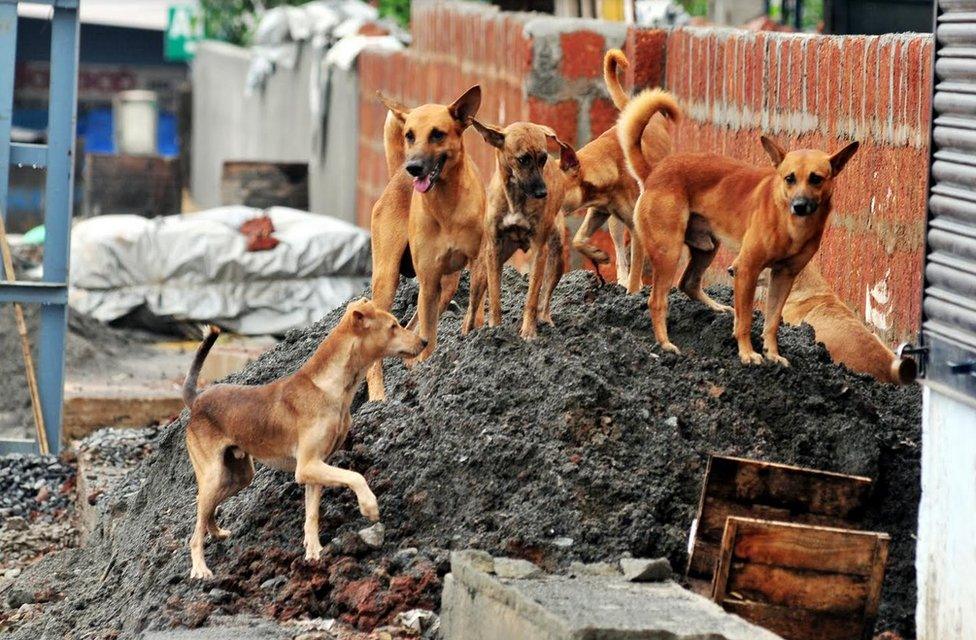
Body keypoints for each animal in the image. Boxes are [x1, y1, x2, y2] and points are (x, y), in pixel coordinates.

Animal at [181, 300, 426, 580]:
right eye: (393, 326)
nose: (424, 341)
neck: (329, 387)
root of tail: (196, 399)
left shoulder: (316, 469)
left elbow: (312, 515)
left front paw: (314, 553)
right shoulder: (308, 466)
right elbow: (356, 476)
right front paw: (369, 506)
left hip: (238, 475)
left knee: (206, 510)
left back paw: (216, 532)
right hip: (213, 475)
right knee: (195, 530)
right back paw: (200, 568)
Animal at [366, 86, 488, 400]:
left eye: (438, 134)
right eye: (409, 135)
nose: (414, 167)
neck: (446, 207)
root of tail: (397, 174)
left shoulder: (477, 265)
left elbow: (476, 311)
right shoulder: (429, 280)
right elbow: (429, 336)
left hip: (449, 283)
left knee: (413, 323)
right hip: (387, 279)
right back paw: (378, 395)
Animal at [464, 121, 580, 340]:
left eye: (543, 158)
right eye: (522, 159)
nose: (543, 193)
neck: (516, 197)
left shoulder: (539, 251)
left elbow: (532, 297)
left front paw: (528, 331)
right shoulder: (494, 249)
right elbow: (494, 296)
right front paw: (495, 328)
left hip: (556, 258)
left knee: (545, 299)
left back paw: (545, 321)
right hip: (481, 270)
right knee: (471, 309)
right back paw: (465, 335)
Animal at [564, 49, 680, 290]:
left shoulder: (634, 227)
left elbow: (637, 267)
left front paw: (634, 292)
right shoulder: (599, 211)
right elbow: (578, 240)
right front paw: (597, 255)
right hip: (614, 224)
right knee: (620, 252)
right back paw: (621, 279)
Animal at [616, 94, 860, 364]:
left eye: (816, 179)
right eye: (789, 178)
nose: (799, 206)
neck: (791, 225)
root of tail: (654, 173)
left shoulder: (783, 276)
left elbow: (772, 322)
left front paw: (773, 354)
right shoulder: (746, 269)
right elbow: (745, 320)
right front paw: (747, 353)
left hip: (707, 248)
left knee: (688, 283)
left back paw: (716, 307)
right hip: (669, 252)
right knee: (657, 301)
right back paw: (665, 344)